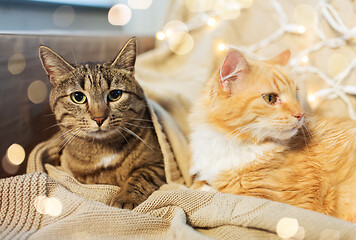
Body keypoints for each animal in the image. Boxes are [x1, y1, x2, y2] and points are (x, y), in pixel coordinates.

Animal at [38, 37, 166, 208]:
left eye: (115, 94)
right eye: (78, 97)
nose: (99, 118)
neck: (103, 149)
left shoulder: (159, 164)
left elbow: (142, 175)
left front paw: (125, 198)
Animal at [191, 49, 356, 222]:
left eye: (296, 95)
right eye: (270, 98)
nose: (301, 114)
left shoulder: (275, 201)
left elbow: (220, 192)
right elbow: (199, 182)